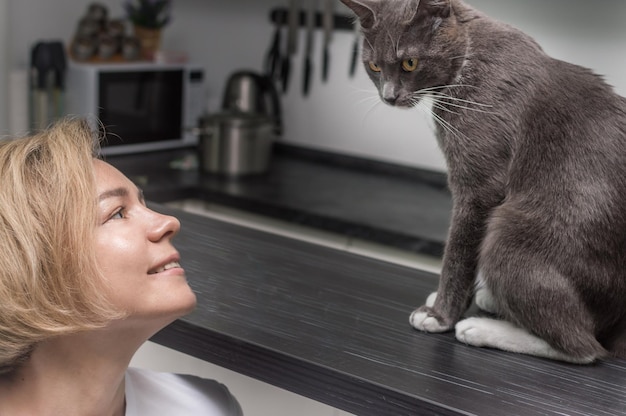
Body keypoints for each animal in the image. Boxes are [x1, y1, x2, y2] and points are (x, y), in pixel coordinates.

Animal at [338, 0, 624, 364]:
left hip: (511, 233)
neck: (468, 60)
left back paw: (481, 329)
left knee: (584, 348)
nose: (389, 97)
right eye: (374, 65)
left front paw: (440, 316)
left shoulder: (479, 188)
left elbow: (458, 253)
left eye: (409, 62)